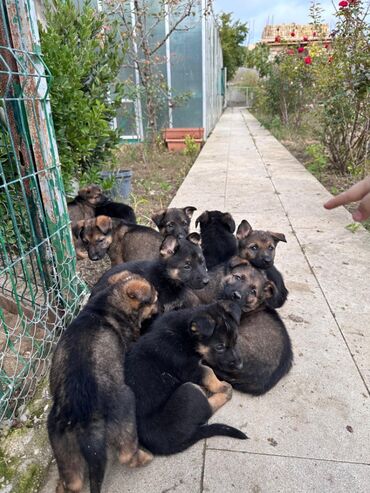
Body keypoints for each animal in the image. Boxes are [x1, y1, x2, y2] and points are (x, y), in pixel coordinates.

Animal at [47, 270, 158, 492]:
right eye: (155, 298)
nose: (162, 309)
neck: (109, 300)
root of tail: (86, 422)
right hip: (125, 404)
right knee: (126, 455)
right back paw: (143, 457)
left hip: (62, 444)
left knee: (73, 481)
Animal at [125, 298, 249, 456]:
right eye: (220, 347)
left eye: (236, 339)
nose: (240, 366)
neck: (185, 334)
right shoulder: (188, 369)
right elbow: (208, 371)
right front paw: (220, 385)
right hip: (189, 391)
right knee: (206, 410)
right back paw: (224, 391)